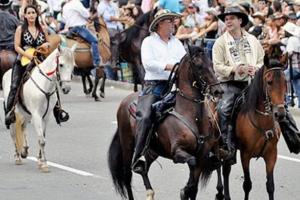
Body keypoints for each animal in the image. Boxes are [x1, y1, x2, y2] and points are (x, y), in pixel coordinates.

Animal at [2, 44, 76, 173]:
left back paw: (24, 150)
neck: (45, 84)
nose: (66, 88)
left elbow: (43, 137)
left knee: (23, 127)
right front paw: (45, 164)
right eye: (61, 64)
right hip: (13, 114)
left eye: (73, 65)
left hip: (26, 113)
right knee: (13, 133)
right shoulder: (36, 115)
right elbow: (41, 140)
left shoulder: (45, 117)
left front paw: (40, 161)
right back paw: (17, 157)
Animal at [108, 46, 223, 199]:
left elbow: (194, 185)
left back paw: (149, 191)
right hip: (127, 145)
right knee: (127, 175)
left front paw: (187, 190)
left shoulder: (202, 154)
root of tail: (124, 102)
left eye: (211, 64)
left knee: (144, 168)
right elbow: (192, 165)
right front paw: (184, 191)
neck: (192, 116)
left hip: (152, 151)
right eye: (199, 65)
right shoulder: (178, 151)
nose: (218, 91)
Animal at [214, 46, 288, 200]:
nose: (280, 114)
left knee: (226, 169)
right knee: (218, 165)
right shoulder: (245, 155)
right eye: (269, 82)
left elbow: (270, 186)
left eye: (285, 82)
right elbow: (247, 184)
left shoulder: (272, 154)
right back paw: (219, 191)